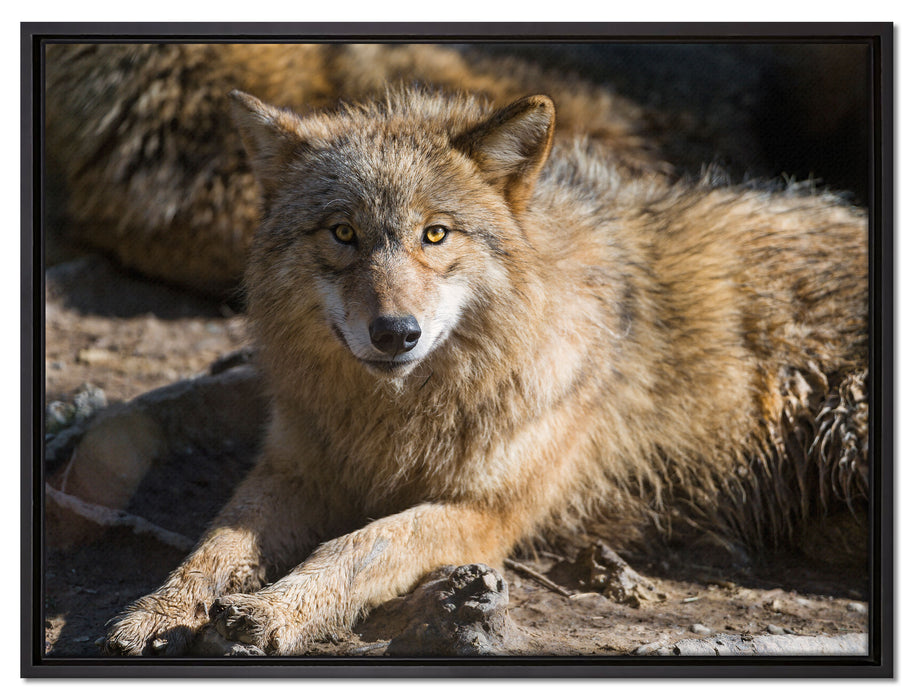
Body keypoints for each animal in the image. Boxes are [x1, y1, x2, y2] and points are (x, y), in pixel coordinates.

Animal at [103, 87, 868, 656]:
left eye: (435, 234)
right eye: (343, 233)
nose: (395, 333)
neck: (400, 415)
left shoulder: (484, 511)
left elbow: (362, 543)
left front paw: (273, 611)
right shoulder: (296, 468)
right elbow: (213, 544)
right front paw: (157, 611)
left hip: (844, 425)